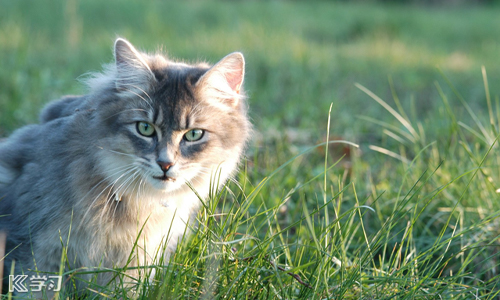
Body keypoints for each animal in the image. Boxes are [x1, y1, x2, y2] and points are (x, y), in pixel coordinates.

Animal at [0, 37, 250, 296]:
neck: (139, 200)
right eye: (145, 128)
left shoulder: (136, 262)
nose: (165, 163)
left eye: (194, 134)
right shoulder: (34, 247)